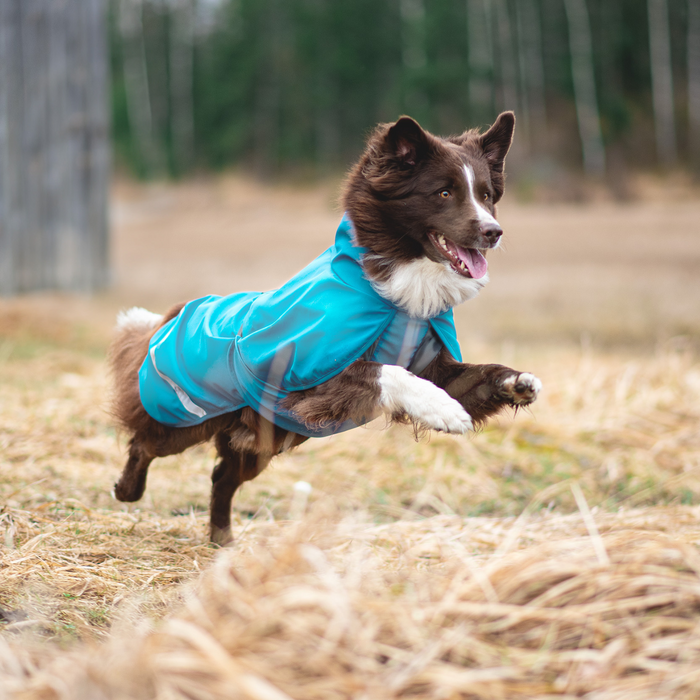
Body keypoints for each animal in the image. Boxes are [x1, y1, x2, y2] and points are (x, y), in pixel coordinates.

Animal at [108, 112, 540, 544]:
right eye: (445, 193)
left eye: (487, 195)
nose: (493, 232)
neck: (394, 296)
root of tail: (173, 315)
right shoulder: (300, 376)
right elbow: (384, 371)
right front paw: (444, 410)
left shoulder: (433, 367)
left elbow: (473, 376)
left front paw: (517, 381)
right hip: (182, 417)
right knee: (144, 443)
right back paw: (127, 490)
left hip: (258, 439)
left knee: (221, 478)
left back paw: (223, 541)